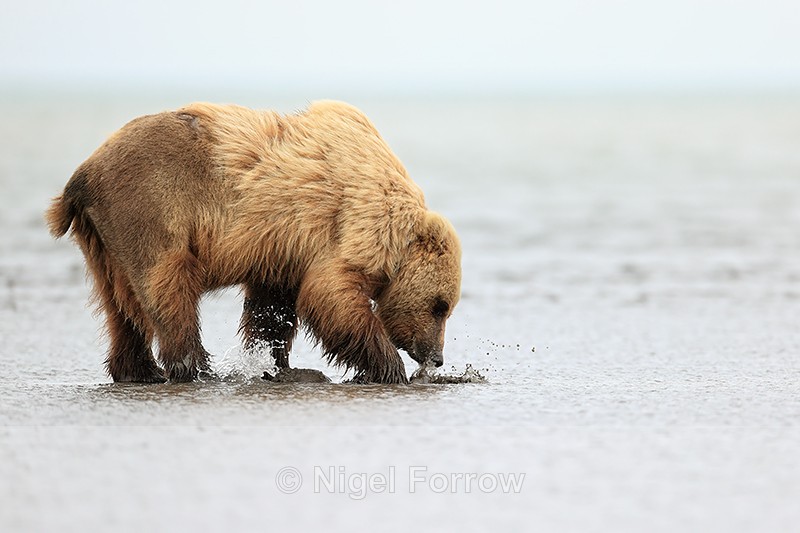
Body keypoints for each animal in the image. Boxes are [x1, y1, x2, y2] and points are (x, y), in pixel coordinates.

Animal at [46, 100, 461, 384]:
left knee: (119, 306)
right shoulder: (338, 226)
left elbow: (272, 309)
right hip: (152, 207)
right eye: (440, 306)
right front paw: (388, 367)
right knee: (168, 288)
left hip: (103, 240)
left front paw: (278, 364)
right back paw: (197, 368)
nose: (437, 357)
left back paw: (138, 369)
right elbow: (333, 298)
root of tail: (81, 177)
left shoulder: (285, 251)